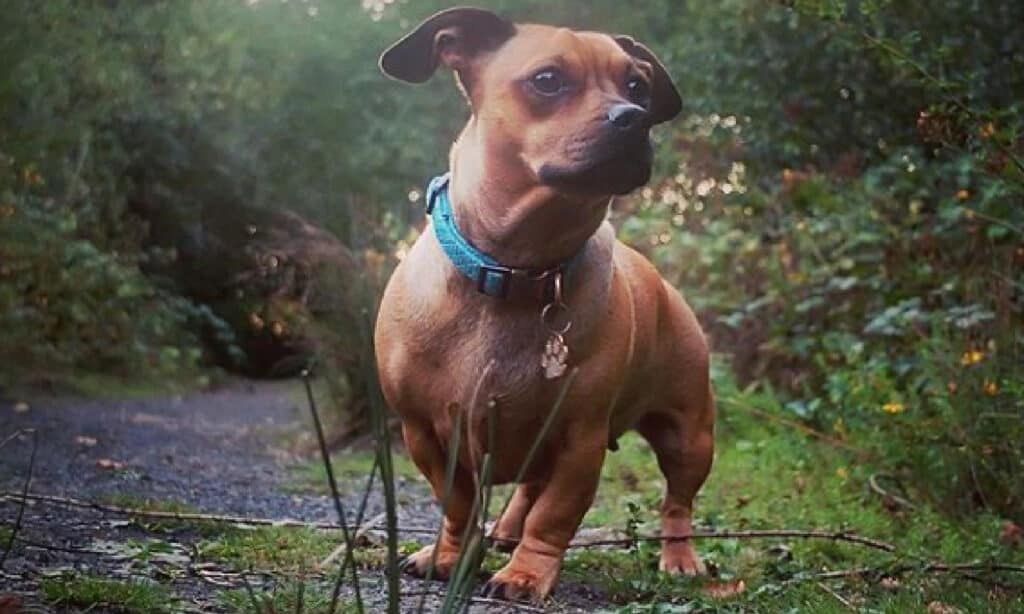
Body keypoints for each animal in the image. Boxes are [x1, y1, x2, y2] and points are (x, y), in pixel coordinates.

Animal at [372, 7, 716, 605]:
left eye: (637, 86)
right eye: (548, 80)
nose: (634, 118)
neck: (518, 272)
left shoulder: (580, 441)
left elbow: (555, 516)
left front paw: (528, 573)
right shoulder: (426, 436)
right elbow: (458, 504)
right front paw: (449, 555)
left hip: (690, 436)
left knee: (677, 503)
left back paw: (680, 559)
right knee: (527, 490)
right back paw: (505, 531)